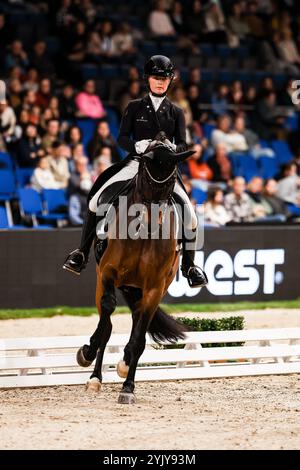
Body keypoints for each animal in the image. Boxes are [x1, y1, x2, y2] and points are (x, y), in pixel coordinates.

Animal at [77, 144, 195, 404]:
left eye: (171, 182)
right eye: (147, 180)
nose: (154, 222)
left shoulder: (154, 289)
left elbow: (140, 338)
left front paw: (128, 387)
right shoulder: (108, 275)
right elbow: (106, 321)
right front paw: (87, 353)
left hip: (141, 290)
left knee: (136, 320)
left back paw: (124, 362)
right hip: (104, 282)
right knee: (107, 324)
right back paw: (95, 377)